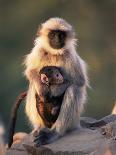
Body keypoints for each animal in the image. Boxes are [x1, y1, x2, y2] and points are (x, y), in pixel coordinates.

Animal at [24, 17, 88, 146]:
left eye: (61, 35)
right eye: (52, 35)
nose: (57, 39)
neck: (55, 53)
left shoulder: (69, 55)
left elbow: (79, 81)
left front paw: (53, 90)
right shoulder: (38, 50)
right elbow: (31, 72)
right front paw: (43, 87)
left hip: (73, 121)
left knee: (73, 89)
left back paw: (55, 133)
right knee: (34, 85)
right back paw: (40, 127)